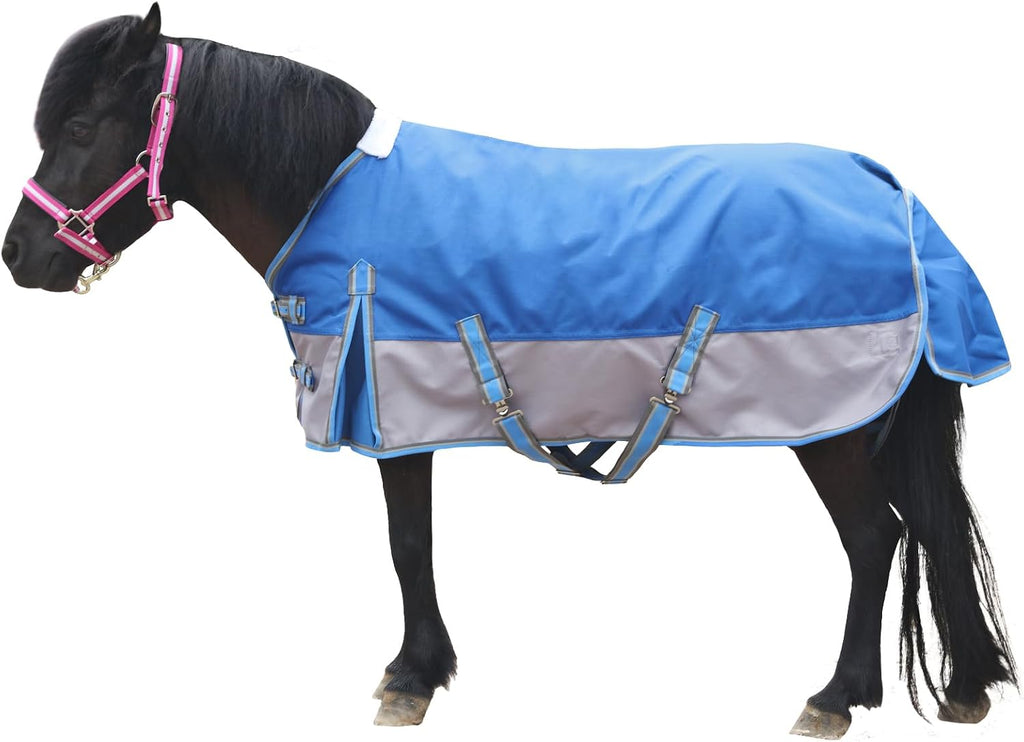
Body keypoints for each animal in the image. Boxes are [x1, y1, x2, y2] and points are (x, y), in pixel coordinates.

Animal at [2, 4, 1018, 737]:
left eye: (82, 123)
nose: (19, 256)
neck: (331, 193)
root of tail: (893, 194)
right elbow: (414, 545)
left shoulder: (392, 417)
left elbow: (408, 545)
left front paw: (412, 679)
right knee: (923, 530)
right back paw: (961, 687)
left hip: (831, 430)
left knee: (875, 539)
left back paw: (835, 696)